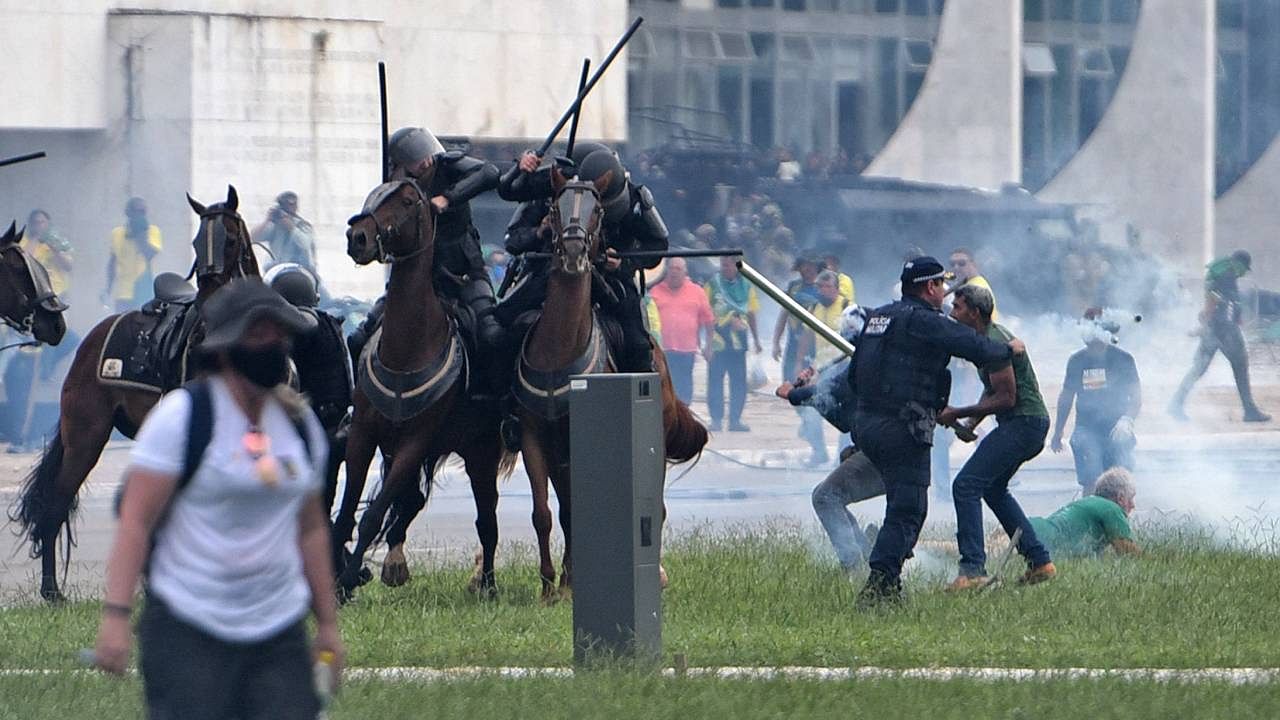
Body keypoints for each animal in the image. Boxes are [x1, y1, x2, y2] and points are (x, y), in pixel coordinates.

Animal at [10, 184, 258, 599]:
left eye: (230, 238)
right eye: (197, 242)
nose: (207, 309)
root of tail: (93, 337)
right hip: (86, 437)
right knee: (57, 503)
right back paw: (52, 590)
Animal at [337, 176, 512, 597]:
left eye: (406, 201)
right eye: (374, 194)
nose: (357, 237)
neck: (409, 346)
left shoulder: (416, 442)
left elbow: (374, 513)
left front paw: (347, 580)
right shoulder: (364, 434)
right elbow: (350, 508)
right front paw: (340, 574)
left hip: (479, 451)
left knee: (486, 518)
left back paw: (487, 584)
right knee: (413, 502)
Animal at [512, 167, 711, 599]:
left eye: (597, 210)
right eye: (555, 207)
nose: (573, 252)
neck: (559, 350)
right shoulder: (535, 438)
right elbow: (544, 513)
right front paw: (550, 587)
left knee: (657, 507)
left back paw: (654, 574)